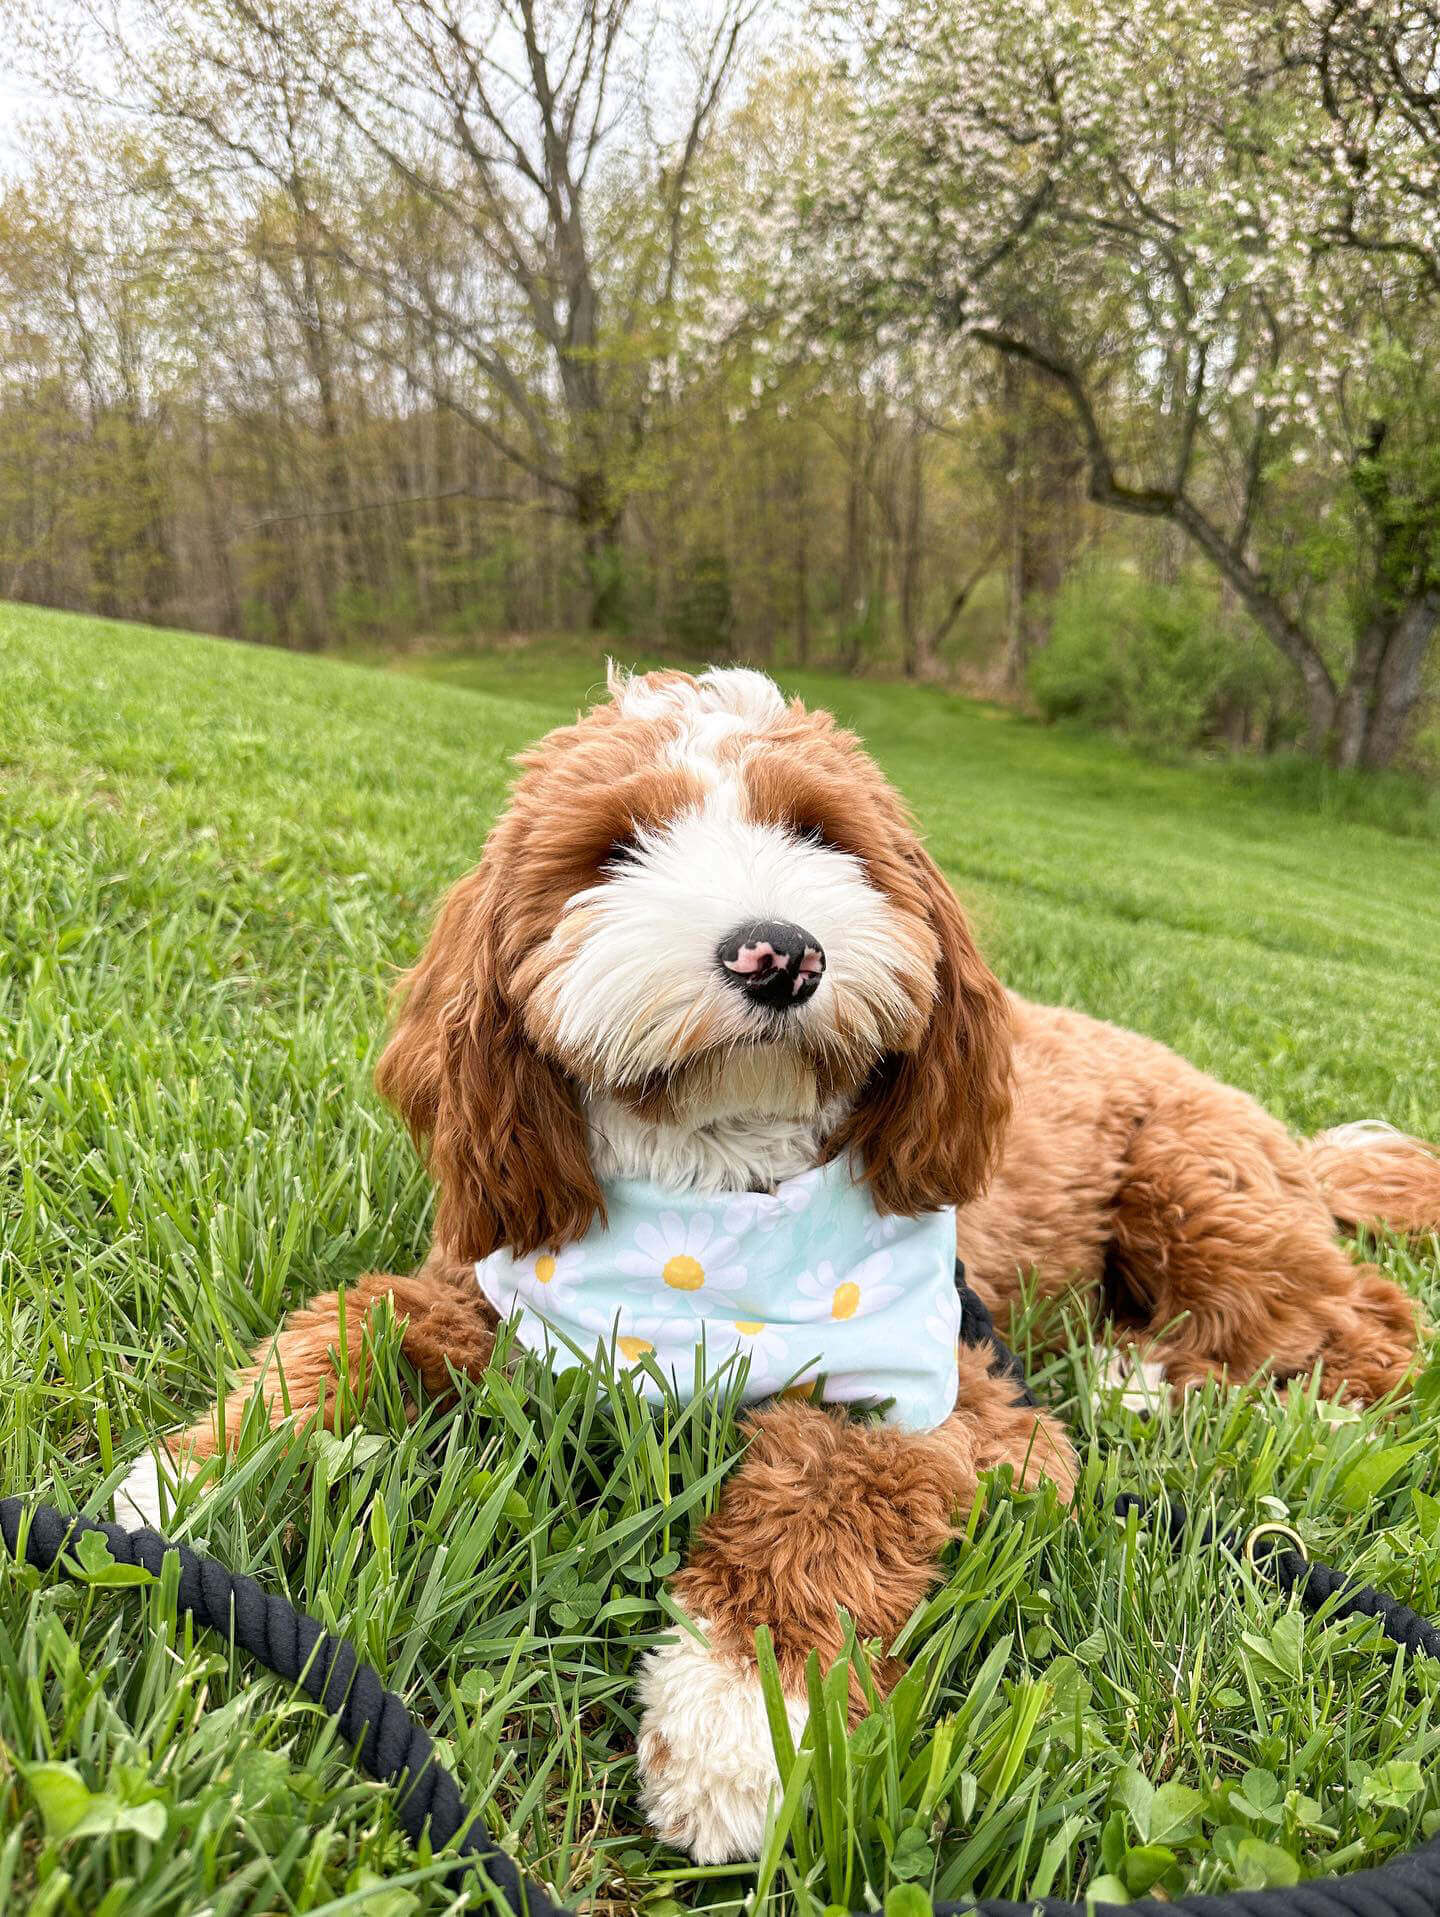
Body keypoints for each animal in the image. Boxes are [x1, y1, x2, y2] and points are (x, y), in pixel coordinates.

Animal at [115, 667, 1440, 1863]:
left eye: (820, 834)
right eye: (616, 849)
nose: (777, 953)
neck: (719, 1192)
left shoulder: (964, 1404)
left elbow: (831, 1496)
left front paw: (745, 1722)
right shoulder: (490, 1290)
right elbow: (347, 1332)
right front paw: (180, 1487)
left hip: (1190, 1181)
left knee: (1364, 1322)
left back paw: (1164, 1384)